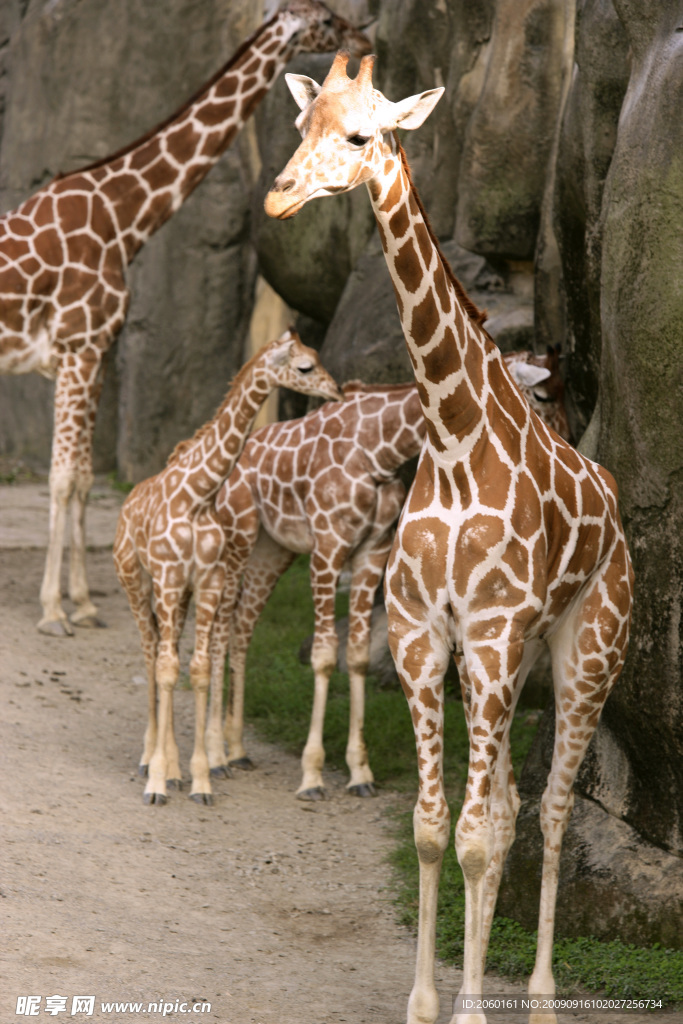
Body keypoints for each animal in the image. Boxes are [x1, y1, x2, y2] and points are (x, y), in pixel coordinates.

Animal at [0, 2, 370, 638]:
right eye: (324, 17)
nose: (363, 32)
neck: (124, 218)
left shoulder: (92, 354)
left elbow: (80, 479)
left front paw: (84, 603)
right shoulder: (79, 348)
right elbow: (64, 478)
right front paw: (52, 611)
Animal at [114, 329, 344, 806]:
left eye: (316, 356)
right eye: (305, 366)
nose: (337, 390)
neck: (198, 496)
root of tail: (127, 504)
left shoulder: (207, 582)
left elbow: (199, 670)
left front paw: (199, 779)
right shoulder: (168, 578)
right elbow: (167, 669)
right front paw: (157, 783)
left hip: (178, 597)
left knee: (168, 654)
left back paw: (174, 767)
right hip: (135, 580)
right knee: (150, 654)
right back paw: (149, 759)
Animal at [202, 380, 428, 794]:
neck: (378, 451)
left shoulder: (373, 551)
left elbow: (356, 655)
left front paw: (360, 772)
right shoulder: (327, 548)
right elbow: (323, 656)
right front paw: (312, 774)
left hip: (271, 551)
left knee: (242, 627)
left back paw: (236, 749)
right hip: (235, 540)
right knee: (219, 630)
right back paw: (214, 757)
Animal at [264, 54, 634, 1024]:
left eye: (361, 135)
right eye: (301, 126)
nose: (279, 196)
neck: (454, 436)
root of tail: (614, 508)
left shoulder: (492, 636)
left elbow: (472, 834)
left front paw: (470, 1005)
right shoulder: (428, 636)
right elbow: (438, 830)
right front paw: (429, 1001)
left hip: (584, 652)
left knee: (550, 812)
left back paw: (538, 998)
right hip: (513, 662)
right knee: (504, 807)